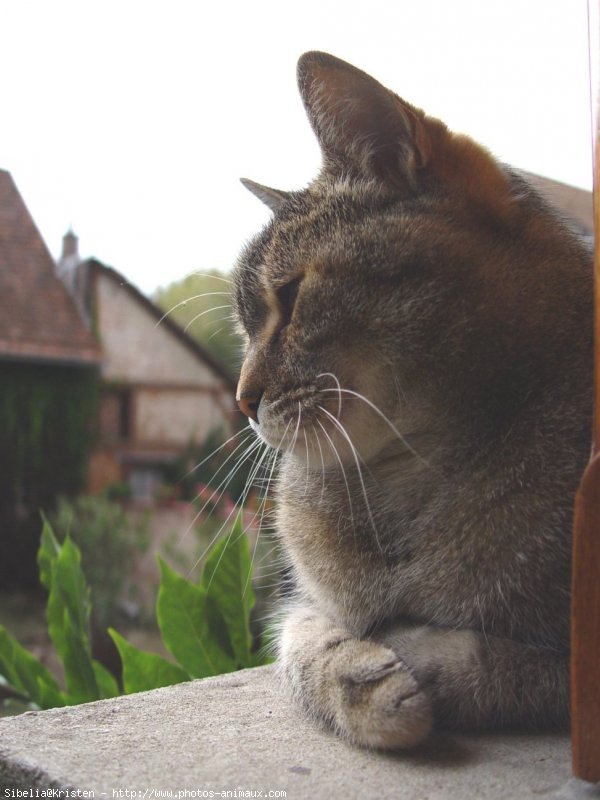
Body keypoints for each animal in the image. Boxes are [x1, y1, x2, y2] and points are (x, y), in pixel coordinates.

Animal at [231, 51, 592, 752]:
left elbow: (500, 659)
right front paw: (361, 681)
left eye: (291, 297)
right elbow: (300, 646)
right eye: (243, 327)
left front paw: (414, 657)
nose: (241, 399)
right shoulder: (307, 605)